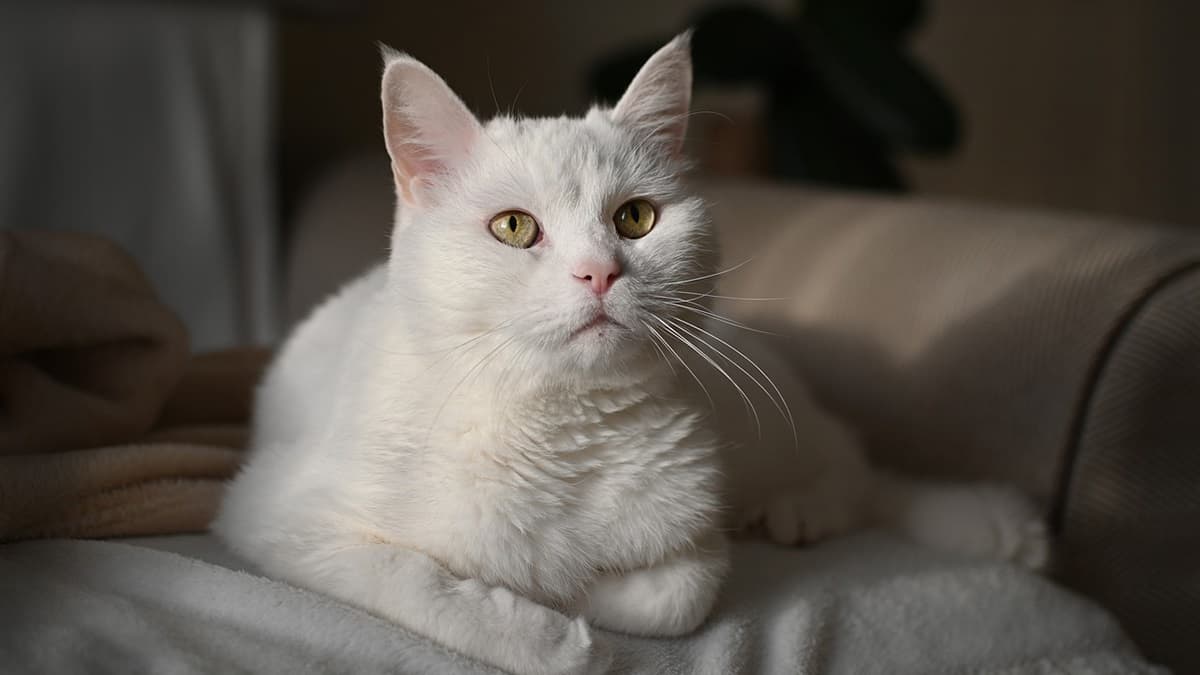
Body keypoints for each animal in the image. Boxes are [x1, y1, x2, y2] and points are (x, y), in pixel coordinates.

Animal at [216, 32, 1051, 672]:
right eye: (514, 227)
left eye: (637, 218)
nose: (600, 271)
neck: (562, 429)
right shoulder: (276, 515)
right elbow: (415, 579)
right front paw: (549, 630)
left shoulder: (696, 539)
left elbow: (682, 592)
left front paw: (574, 596)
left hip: (761, 427)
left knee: (859, 466)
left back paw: (813, 510)